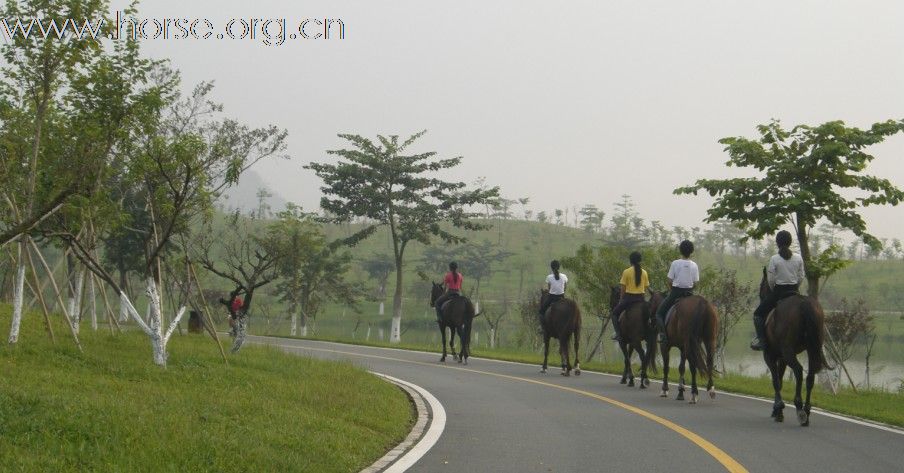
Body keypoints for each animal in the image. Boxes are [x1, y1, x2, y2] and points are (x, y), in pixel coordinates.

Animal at [760, 268, 828, 426]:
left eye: (761, 286)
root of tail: (804, 303)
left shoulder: (770, 355)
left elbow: (776, 381)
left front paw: (779, 409)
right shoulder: (782, 358)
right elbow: (779, 380)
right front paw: (777, 410)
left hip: (788, 351)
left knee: (798, 371)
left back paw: (799, 408)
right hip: (812, 349)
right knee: (810, 376)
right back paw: (807, 411)